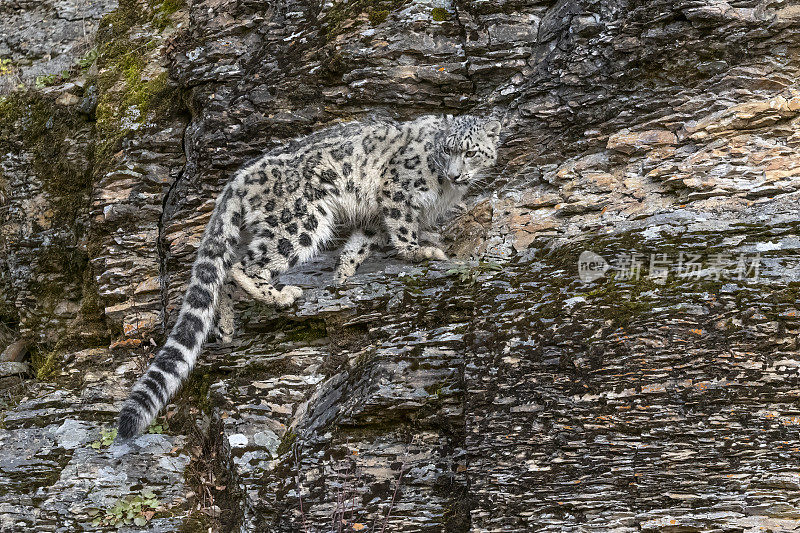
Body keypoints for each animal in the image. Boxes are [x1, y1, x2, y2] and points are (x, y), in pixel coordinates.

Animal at [117, 112, 500, 436]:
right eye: (447, 150)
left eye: (470, 153)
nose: (455, 174)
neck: (444, 189)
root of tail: (237, 179)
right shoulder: (396, 192)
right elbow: (402, 228)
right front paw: (421, 250)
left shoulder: (375, 219)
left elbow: (360, 243)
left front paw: (343, 274)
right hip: (300, 221)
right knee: (244, 266)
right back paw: (282, 295)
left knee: (225, 272)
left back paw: (225, 326)